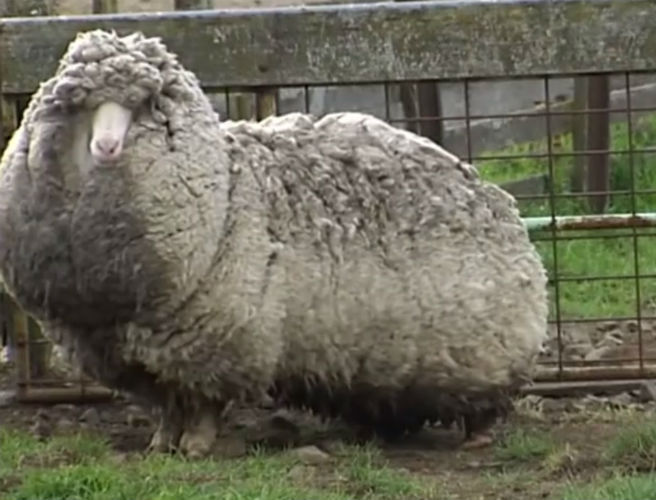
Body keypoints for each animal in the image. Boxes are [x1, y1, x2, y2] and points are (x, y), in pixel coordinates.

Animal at [0, 29, 549, 458]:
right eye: (81, 106)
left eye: (147, 104)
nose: (107, 146)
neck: (223, 195)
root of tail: (491, 193)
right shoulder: (122, 350)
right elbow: (166, 406)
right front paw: (162, 444)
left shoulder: (215, 341)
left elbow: (201, 404)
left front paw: (196, 446)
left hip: (483, 348)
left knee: (483, 405)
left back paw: (477, 435)